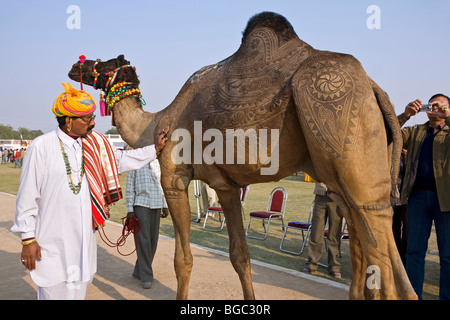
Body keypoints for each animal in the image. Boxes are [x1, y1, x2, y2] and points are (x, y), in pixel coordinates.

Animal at [68, 12, 416, 300]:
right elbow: (239, 255)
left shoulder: (174, 178)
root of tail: (373, 87)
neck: (155, 123)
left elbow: (183, 259)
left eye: (104, 64)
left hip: (343, 141)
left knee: (378, 238)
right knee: (366, 238)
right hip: (347, 174)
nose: (76, 65)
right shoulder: (225, 186)